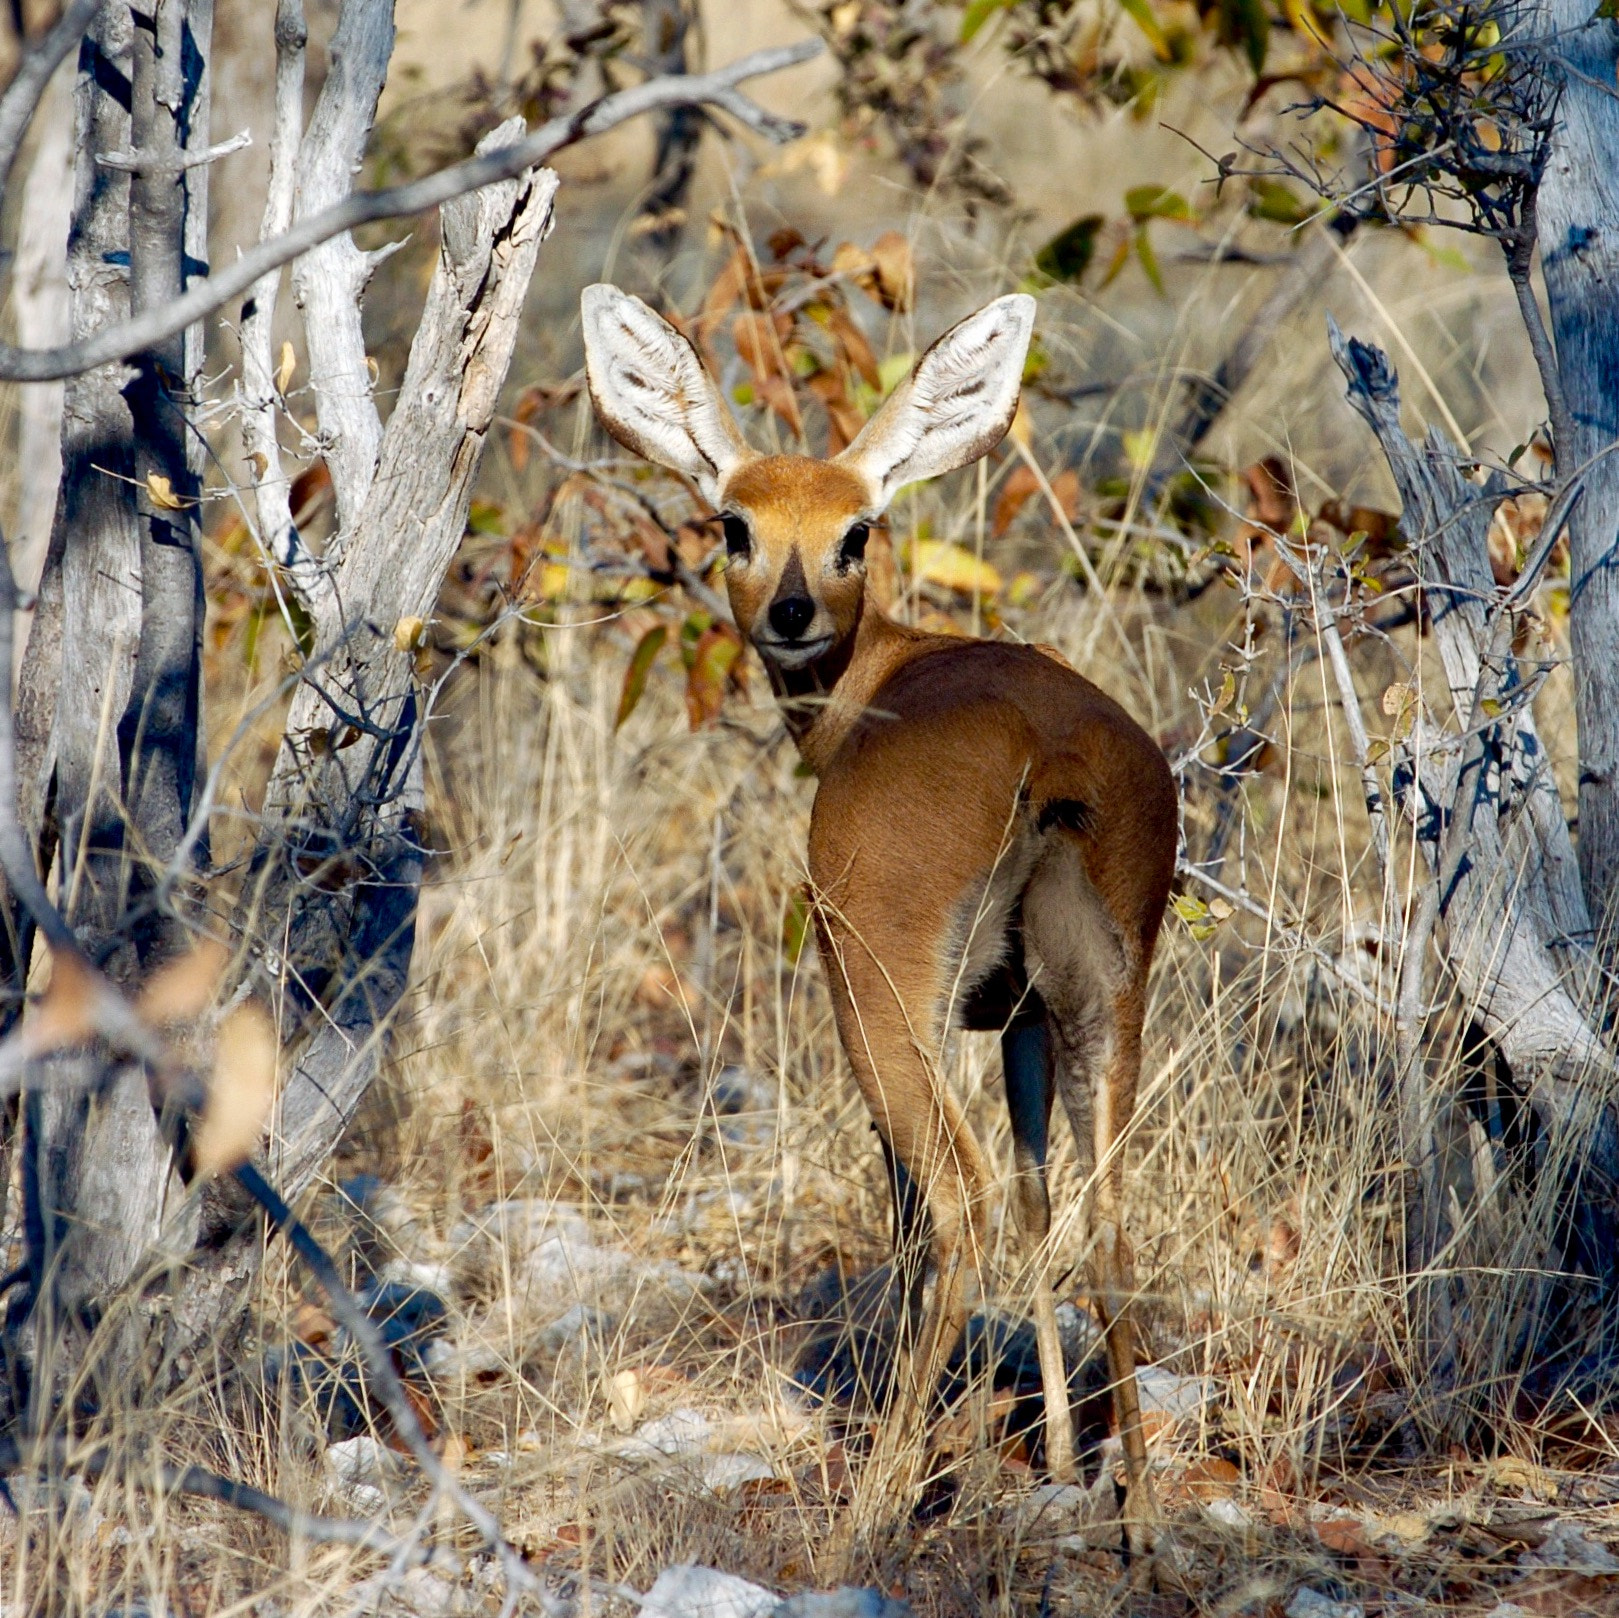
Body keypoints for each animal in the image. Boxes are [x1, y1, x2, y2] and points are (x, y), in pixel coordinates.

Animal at [582, 285, 1178, 1548]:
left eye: (856, 529)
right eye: (734, 522)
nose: (793, 609)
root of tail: (1051, 755)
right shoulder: (1020, 1018)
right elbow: (1037, 1194)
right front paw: (1057, 1457)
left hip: (878, 994)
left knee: (947, 1201)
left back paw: (875, 1498)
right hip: (1106, 993)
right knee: (1098, 1212)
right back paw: (1138, 1511)